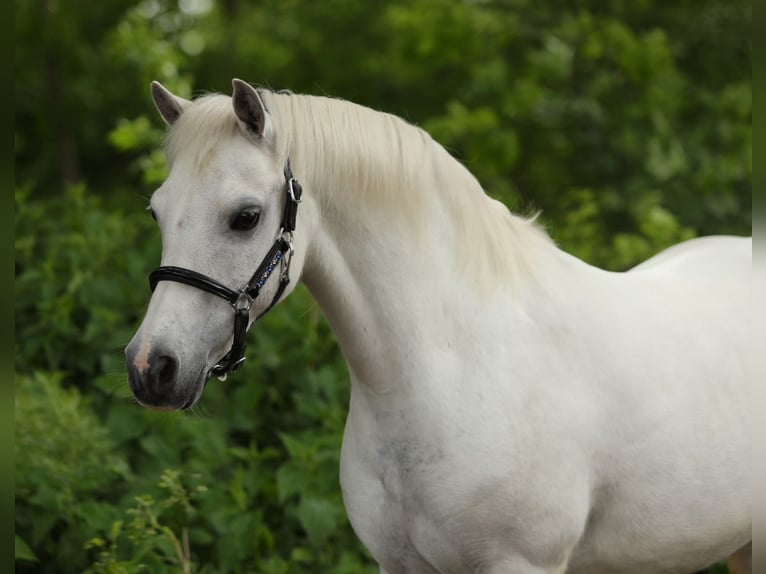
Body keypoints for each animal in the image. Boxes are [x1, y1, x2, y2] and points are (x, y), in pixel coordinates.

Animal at [125, 79, 751, 574]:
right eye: (156, 212)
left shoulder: (524, 563)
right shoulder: (399, 564)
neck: (450, 369)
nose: (151, 367)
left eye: (247, 216)